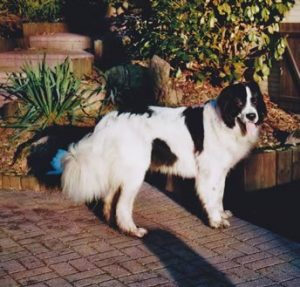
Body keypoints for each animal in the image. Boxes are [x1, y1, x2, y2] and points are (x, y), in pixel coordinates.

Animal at [61, 81, 268, 238]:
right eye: (239, 102)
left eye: (254, 100)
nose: (252, 115)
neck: (226, 121)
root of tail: (111, 117)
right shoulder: (210, 172)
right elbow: (212, 197)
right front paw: (216, 220)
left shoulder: (220, 171)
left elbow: (219, 195)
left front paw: (221, 214)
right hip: (135, 173)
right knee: (122, 206)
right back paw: (132, 230)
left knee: (110, 197)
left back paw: (112, 222)